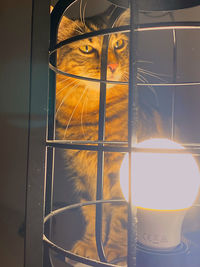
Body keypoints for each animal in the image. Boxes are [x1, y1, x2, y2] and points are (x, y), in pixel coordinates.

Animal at [54, 7, 163, 264]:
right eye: (87, 48)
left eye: (119, 44)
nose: (112, 66)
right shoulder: (83, 174)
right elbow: (92, 211)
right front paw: (90, 247)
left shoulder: (121, 173)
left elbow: (121, 217)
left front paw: (115, 252)